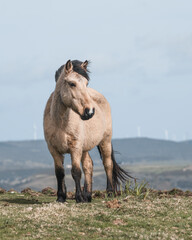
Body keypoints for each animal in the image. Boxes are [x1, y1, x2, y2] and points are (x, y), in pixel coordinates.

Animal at [43, 59, 131, 202]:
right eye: (72, 83)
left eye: (86, 83)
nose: (89, 111)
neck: (60, 122)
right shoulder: (53, 149)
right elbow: (60, 173)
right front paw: (61, 197)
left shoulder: (75, 147)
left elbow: (76, 172)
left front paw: (78, 197)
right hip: (85, 148)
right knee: (88, 165)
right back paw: (88, 195)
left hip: (105, 141)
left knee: (107, 164)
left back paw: (109, 192)